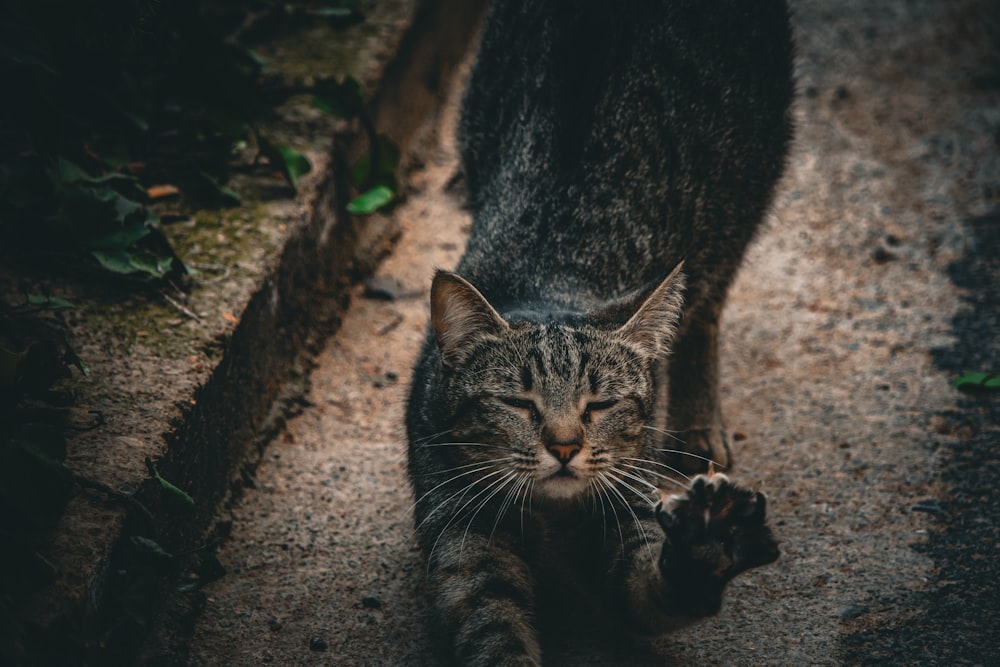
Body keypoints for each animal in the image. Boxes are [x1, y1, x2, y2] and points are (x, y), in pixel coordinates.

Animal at [404, 0, 788, 664]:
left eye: (600, 405)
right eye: (518, 403)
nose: (563, 446)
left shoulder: (624, 513)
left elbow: (649, 584)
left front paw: (706, 547)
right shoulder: (462, 533)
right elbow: (492, 626)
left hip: (736, 199)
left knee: (705, 304)